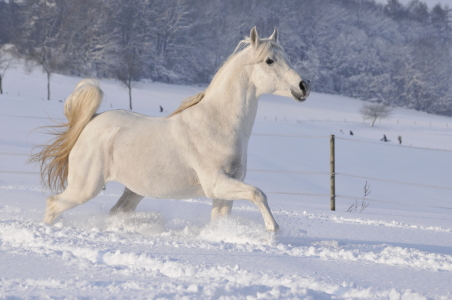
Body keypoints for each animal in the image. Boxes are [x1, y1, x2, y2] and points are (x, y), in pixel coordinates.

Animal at [30, 27, 308, 231]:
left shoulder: (224, 191)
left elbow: (224, 217)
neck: (217, 124)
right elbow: (258, 193)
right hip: (86, 188)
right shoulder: (215, 183)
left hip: (133, 191)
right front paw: (273, 229)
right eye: (269, 60)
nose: (303, 86)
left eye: (287, 57)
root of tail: (91, 121)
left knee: (115, 211)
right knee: (53, 204)